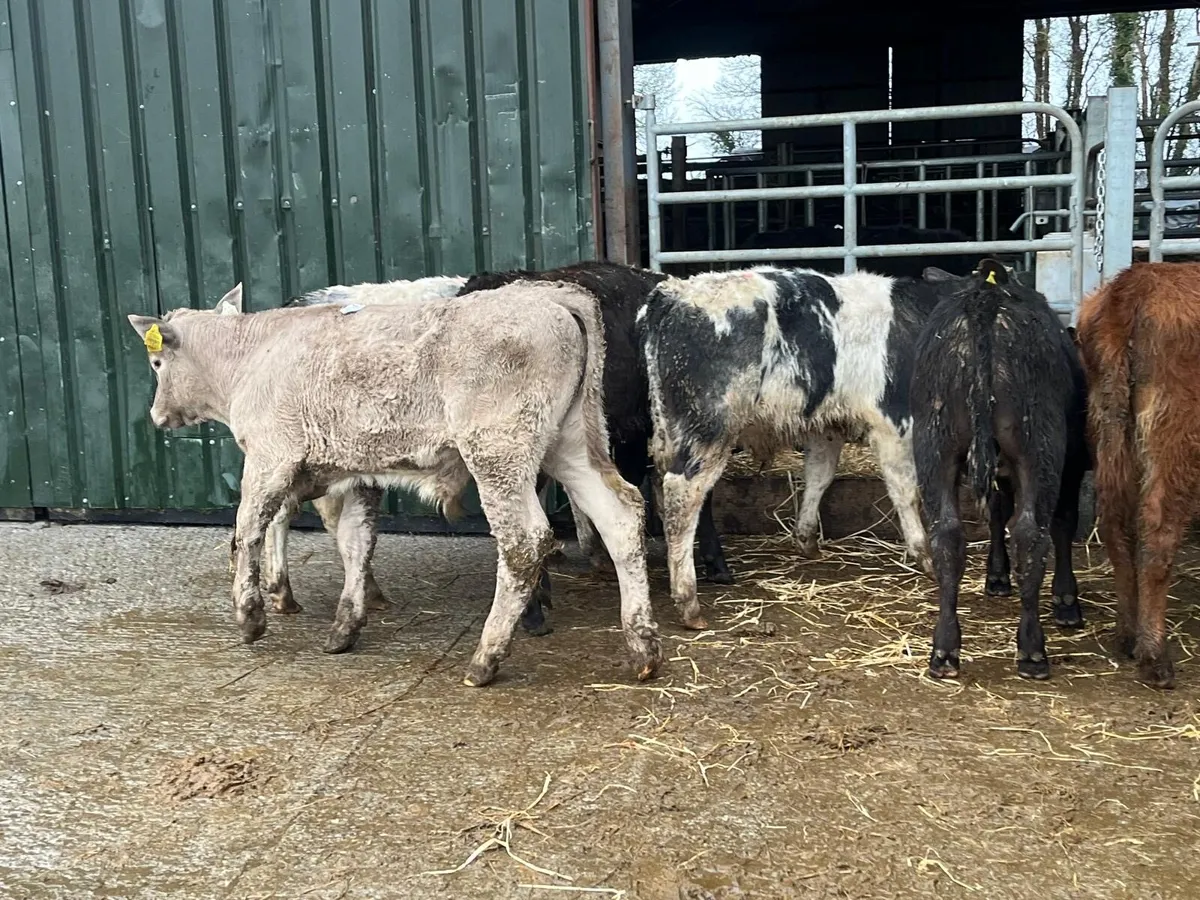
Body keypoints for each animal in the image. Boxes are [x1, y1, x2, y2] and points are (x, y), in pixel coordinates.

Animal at [128, 282, 662, 688]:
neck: (251, 354)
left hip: (497, 452)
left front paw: (250, 616)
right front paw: (346, 625)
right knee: (620, 514)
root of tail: (549, 296)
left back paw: (486, 659)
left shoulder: (269, 458)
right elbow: (355, 542)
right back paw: (643, 649)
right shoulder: (351, 473)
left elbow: (247, 530)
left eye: (156, 364)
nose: (156, 416)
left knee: (524, 541)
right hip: (569, 442)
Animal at [639, 265, 967, 630]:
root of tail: (674, 293)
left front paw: (807, 539)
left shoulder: (827, 427)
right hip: (710, 430)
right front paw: (924, 554)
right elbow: (905, 491)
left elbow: (819, 476)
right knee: (682, 493)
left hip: (671, 432)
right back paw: (688, 601)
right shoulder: (893, 422)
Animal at [912, 260, 1089, 681]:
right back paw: (1032, 650)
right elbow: (1062, 522)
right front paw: (1066, 598)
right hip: (1040, 447)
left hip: (934, 443)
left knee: (947, 535)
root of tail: (986, 298)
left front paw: (996, 576)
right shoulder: (1072, 459)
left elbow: (995, 511)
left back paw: (944, 650)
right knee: (1032, 534)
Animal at [1075, 261, 1200, 689]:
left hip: (1108, 428)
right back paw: (1154, 656)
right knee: (1157, 533)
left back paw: (1128, 636)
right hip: (1174, 438)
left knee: (1115, 523)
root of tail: (1137, 281)